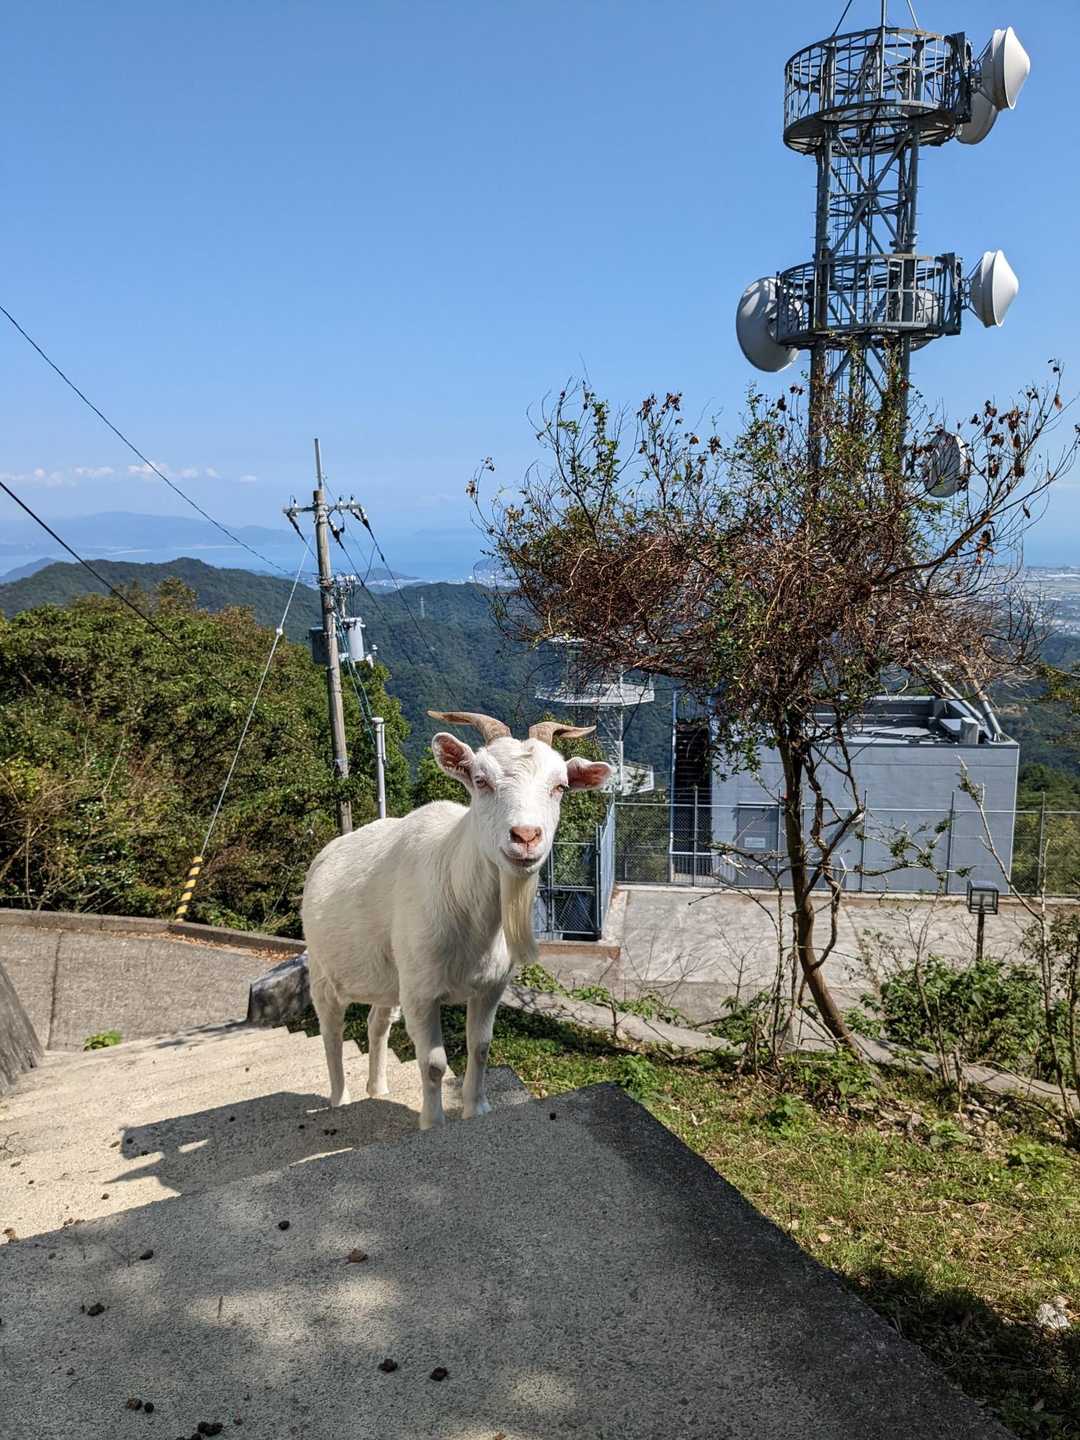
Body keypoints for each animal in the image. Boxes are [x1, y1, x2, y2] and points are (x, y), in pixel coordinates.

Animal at [301, 710, 611, 1129]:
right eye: (481, 780)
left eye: (560, 786)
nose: (526, 836)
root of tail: (325, 854)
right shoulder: (421, 992)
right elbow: (432, 1063)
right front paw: (433, 1123)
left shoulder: (489, 987)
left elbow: (479, 1047)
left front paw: (475, 1108)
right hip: (322, 967)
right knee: (330, 1029)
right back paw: (340, 1099)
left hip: (390, 975)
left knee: (377, 1022)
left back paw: (377, 1090)